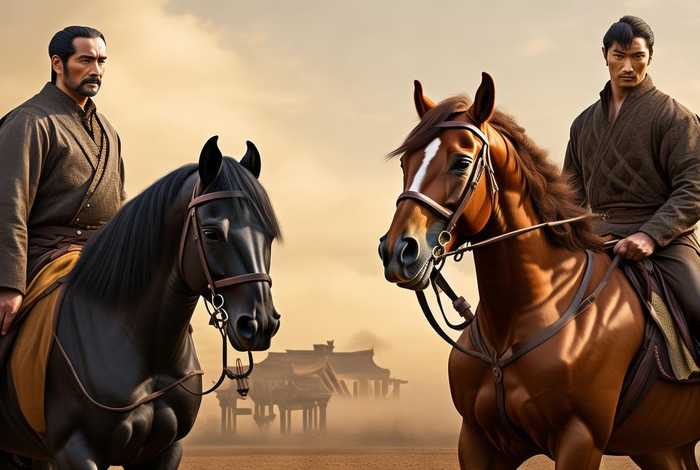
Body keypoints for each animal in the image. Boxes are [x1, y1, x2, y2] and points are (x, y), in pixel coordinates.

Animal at [379, 73, 700, 469]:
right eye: (406, 162)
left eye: (461, 162)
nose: (398, 251)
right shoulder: (478, 440)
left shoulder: (580, 440)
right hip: (660, 446)